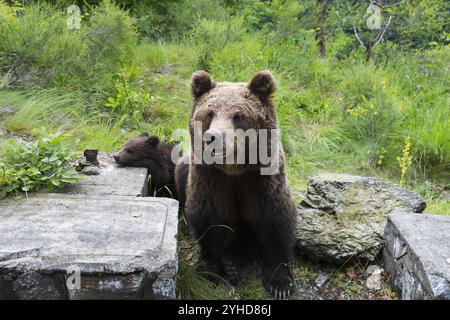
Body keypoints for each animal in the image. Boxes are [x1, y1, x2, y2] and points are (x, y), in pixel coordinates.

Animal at [185, 70, 298, 300]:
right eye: (209, 113)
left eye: (238, 115)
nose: (213, 137)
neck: (234, 170)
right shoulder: (210, 179)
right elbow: (207, 218)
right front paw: (210, 270)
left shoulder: (262, 179)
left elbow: (276, 220)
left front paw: (280, 284)